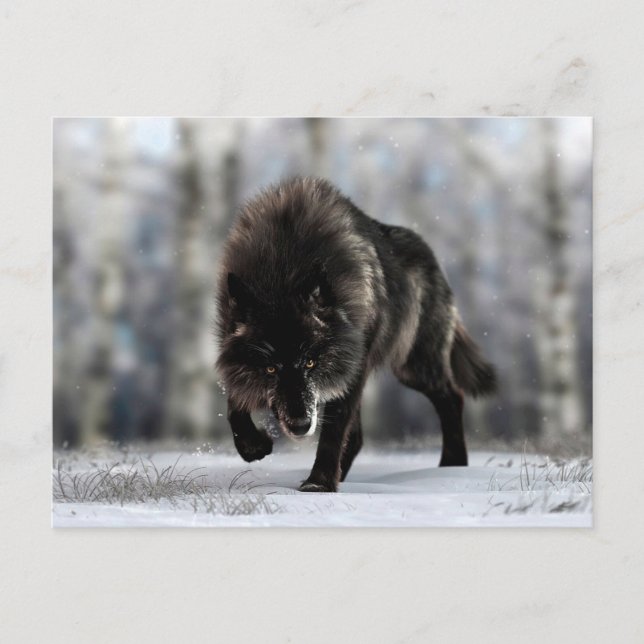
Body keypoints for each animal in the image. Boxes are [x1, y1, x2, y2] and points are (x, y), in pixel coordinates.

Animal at [216, 177, 496, 492]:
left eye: (311, 362)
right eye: (271, 368)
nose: (301, 426)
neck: (283, 266)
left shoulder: (352, 367)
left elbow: (333, 431)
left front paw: (318, 485)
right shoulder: (233, 356)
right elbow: (234, 404)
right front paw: (253, 446)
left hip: (413, 367)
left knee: (452, 397)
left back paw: (452, 467)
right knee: (360, 436)